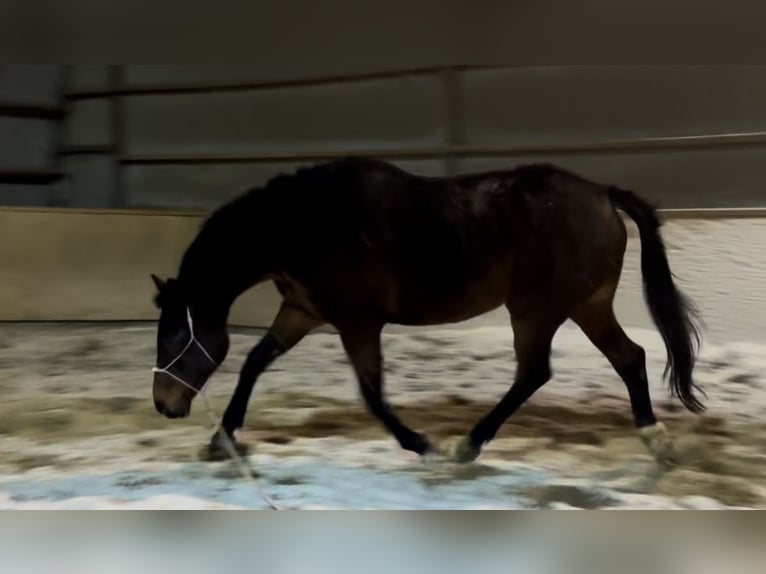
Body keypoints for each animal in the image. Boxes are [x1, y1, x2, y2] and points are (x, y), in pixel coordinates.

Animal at [149, 157, 704, 466]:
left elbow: (372, 394)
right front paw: (221, 441)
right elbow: (254, 362)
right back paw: (655, 441)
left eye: (175, 336)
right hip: (587, 306)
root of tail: (602, 195)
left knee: (534, 372)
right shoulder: (302, 310)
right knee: (629, 358)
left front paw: (422, 445)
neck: (306, 223)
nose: (164, 404)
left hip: (536, 309)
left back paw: (467, 446)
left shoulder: (357, 321)